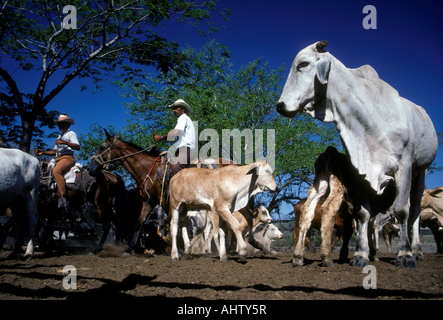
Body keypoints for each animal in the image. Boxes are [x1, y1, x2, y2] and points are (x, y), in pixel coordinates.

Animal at [280, 42, 438, 268]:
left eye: (303, 64)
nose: (280, 105)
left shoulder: (404, 166)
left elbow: (401, 211)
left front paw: (404, 255)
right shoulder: (360, 172)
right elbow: (364, 214)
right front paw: (361, 255)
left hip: (421, 171)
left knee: (414, 210)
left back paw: (416, 251)